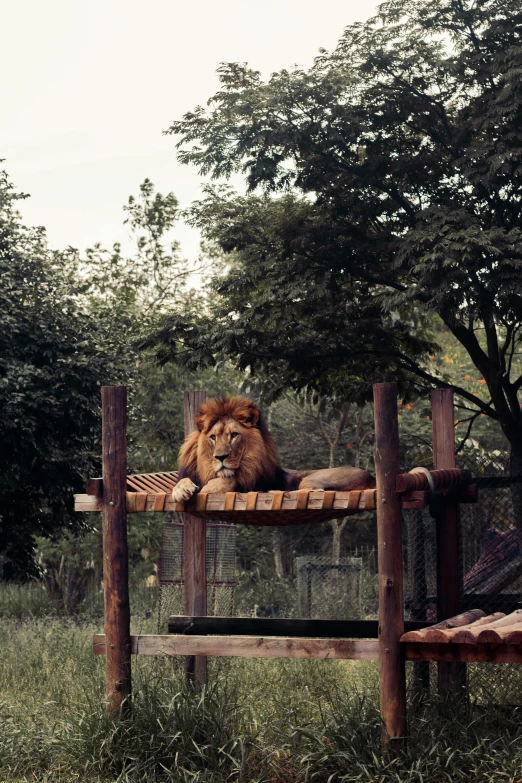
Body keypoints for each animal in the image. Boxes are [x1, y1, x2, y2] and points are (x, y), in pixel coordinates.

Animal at [172, 398, 374, 502]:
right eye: (213, 437)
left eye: (234, 435)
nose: (220, 457)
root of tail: (371, 476)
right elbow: (182, 481)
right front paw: (181, 490)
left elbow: (227, 482)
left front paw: (210, 487)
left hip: (312, 478)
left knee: (313, 490)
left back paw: (275, 492)